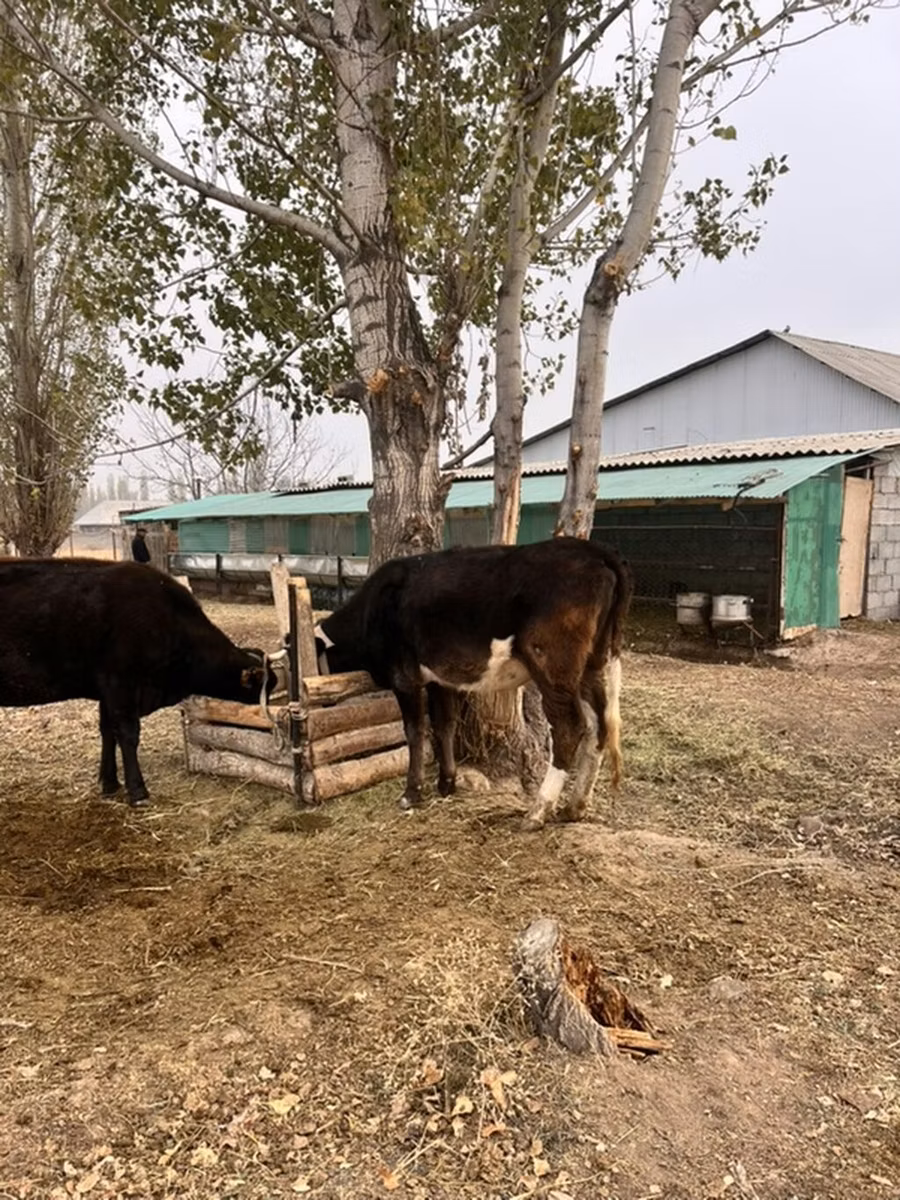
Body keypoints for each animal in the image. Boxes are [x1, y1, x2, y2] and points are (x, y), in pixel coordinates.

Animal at [0, 558, 275, 807]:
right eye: (260, 692)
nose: (269, 730)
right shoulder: (121, 683)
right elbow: (128, 734)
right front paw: (138, 791)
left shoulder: (108, 693)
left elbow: (108, 732)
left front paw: (109, 783)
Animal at [316, 537, 633, 830]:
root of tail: (595, 551)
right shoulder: (440, 678)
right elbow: (445, 725)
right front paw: (447, 784)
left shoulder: (404, 678)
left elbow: (415, 732)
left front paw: (411, 793)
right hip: (592, 664)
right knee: (598, 726)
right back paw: (575, 806)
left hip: (552, 663)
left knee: (569, 728)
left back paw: (538, 811)